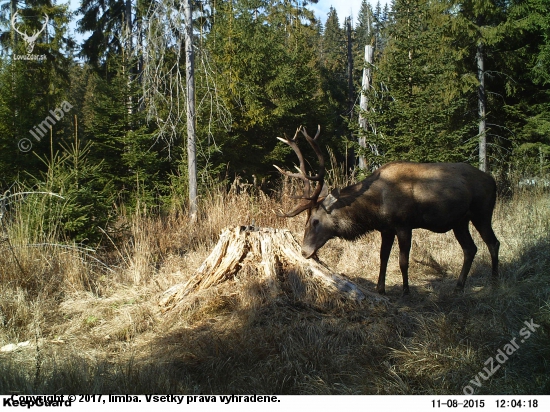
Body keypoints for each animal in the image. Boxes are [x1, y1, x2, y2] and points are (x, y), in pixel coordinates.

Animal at [276, 125, 500, 296]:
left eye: (315, 221)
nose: (304, 251)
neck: (374, 209)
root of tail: (493, 181)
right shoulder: (386, 228)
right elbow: (383, 257)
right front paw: (380, 288)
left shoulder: (404, 225)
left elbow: (402, 261)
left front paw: (406, 291)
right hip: (460, 222)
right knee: (470, 248)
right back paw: (459, 286)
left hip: (482, 213)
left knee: (493, 243)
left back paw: (495, 280)